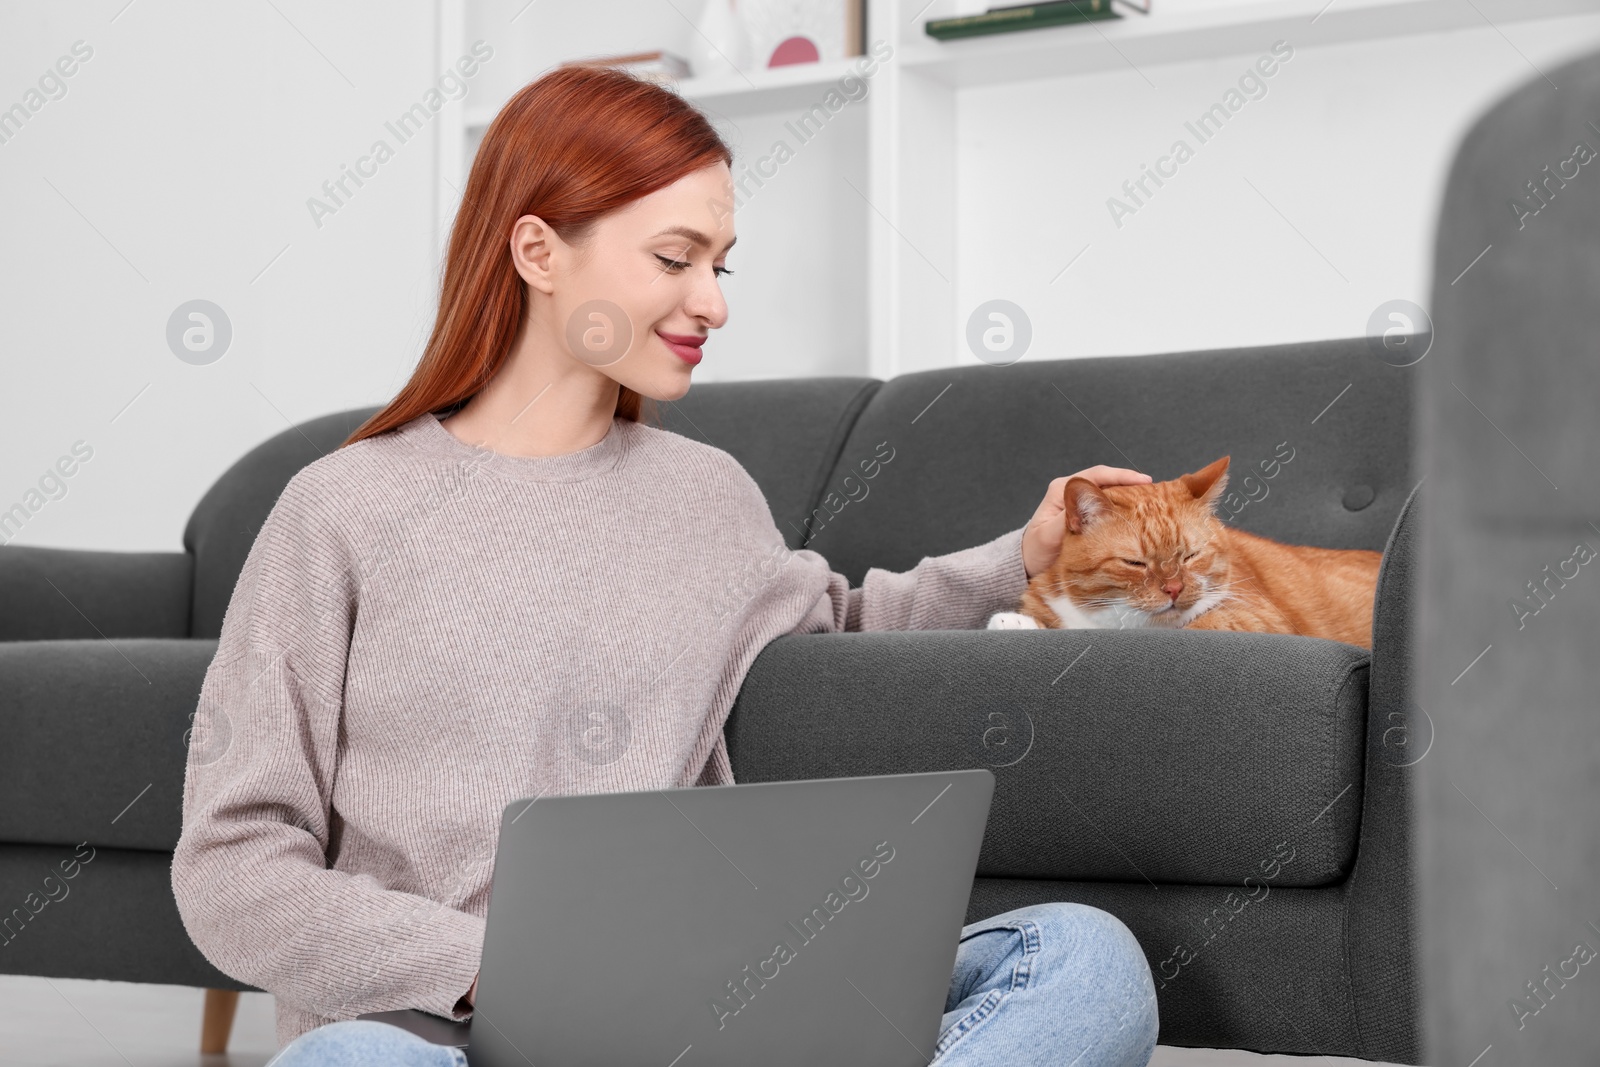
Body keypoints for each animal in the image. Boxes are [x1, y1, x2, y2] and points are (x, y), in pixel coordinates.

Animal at [979, 454, 1382, 646]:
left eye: (1190, 556)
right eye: (1135, 563)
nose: (1173, 589)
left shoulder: (1259, 617)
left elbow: (1201, 625)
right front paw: (1014, 622)